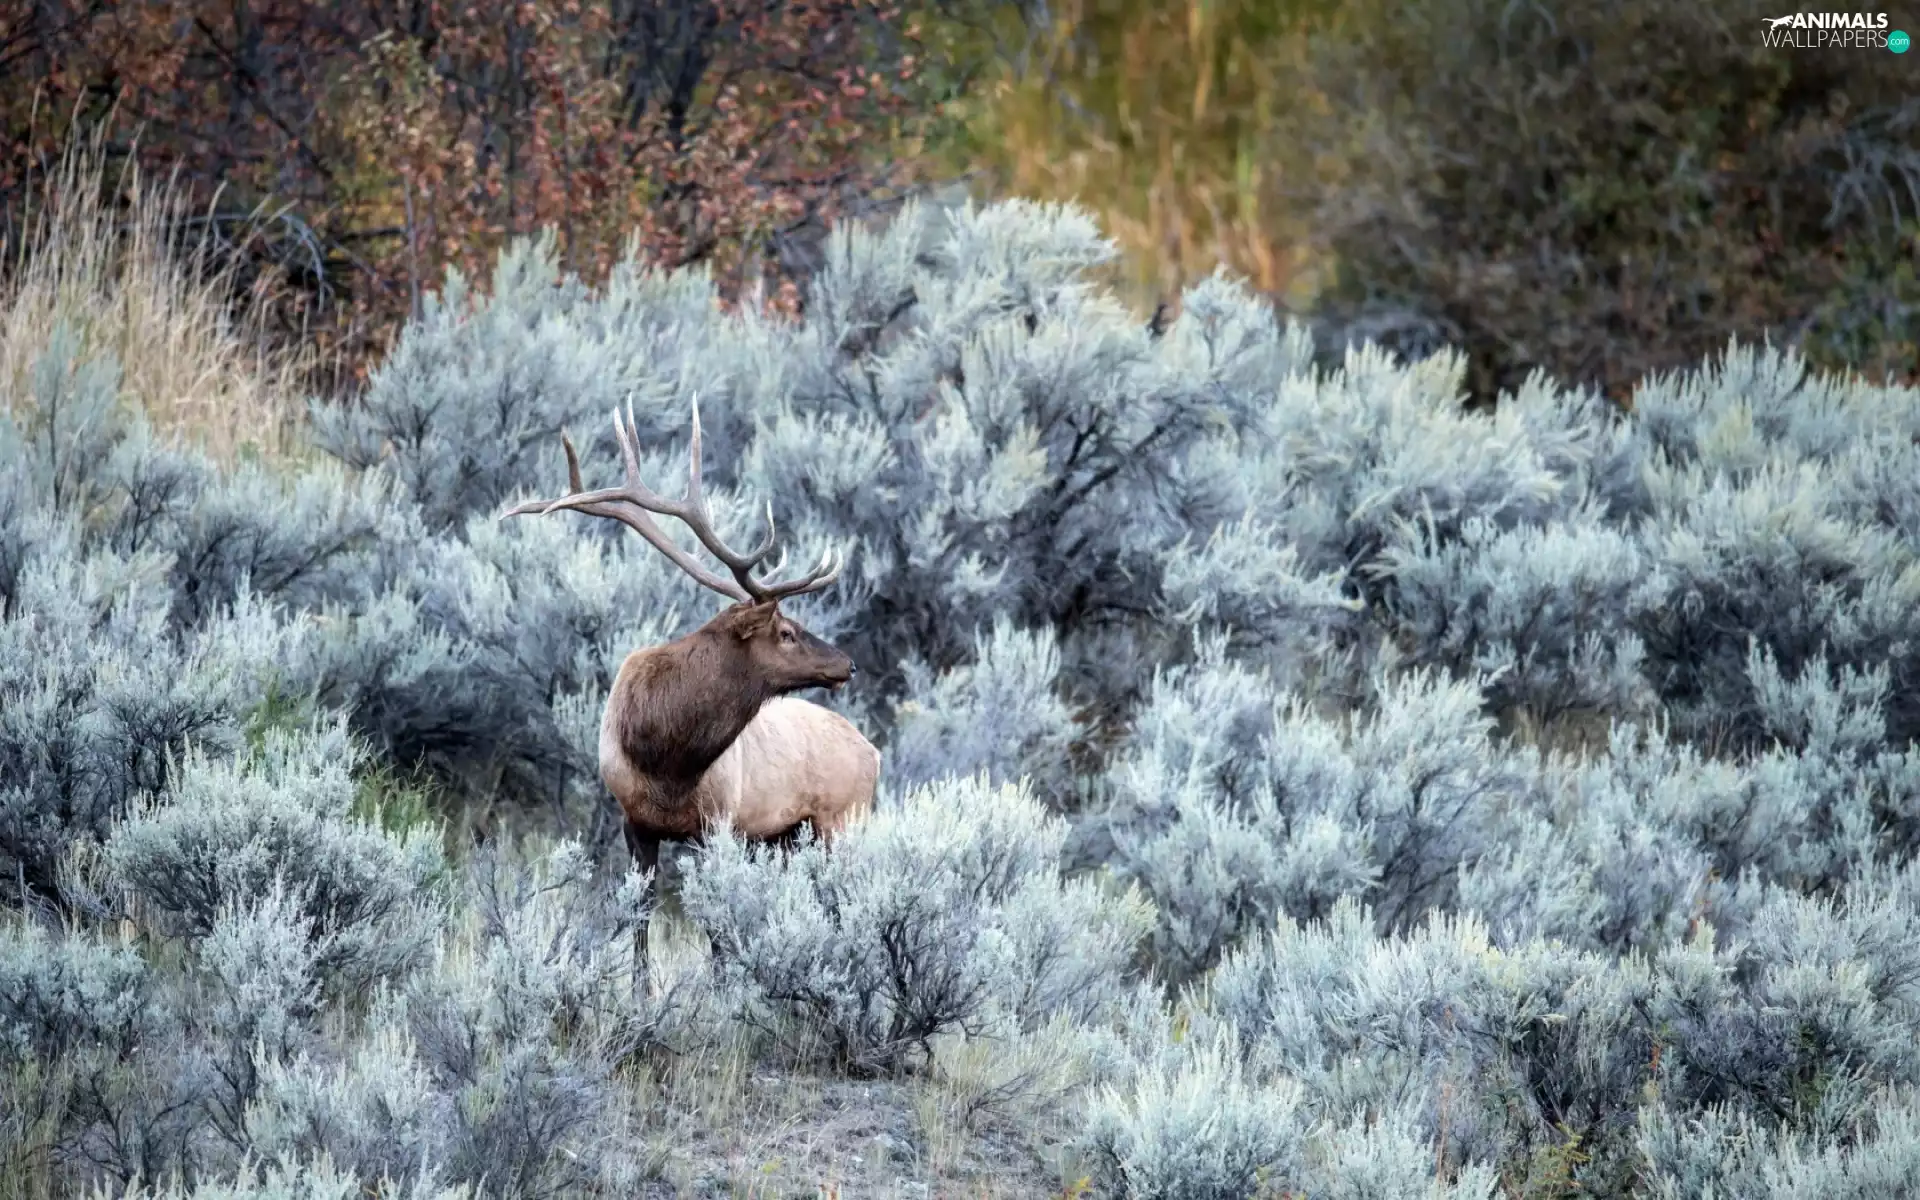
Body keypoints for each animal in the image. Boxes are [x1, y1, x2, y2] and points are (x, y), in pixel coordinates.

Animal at [501, 398, 880, 970]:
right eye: (786, 632)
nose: (848, 665)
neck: (665, 757)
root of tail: (874, 752)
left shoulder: (716, 824)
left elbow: (716, 927)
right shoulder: (633, 822)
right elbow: (641, 919)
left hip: (842, 818)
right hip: (790, 835)